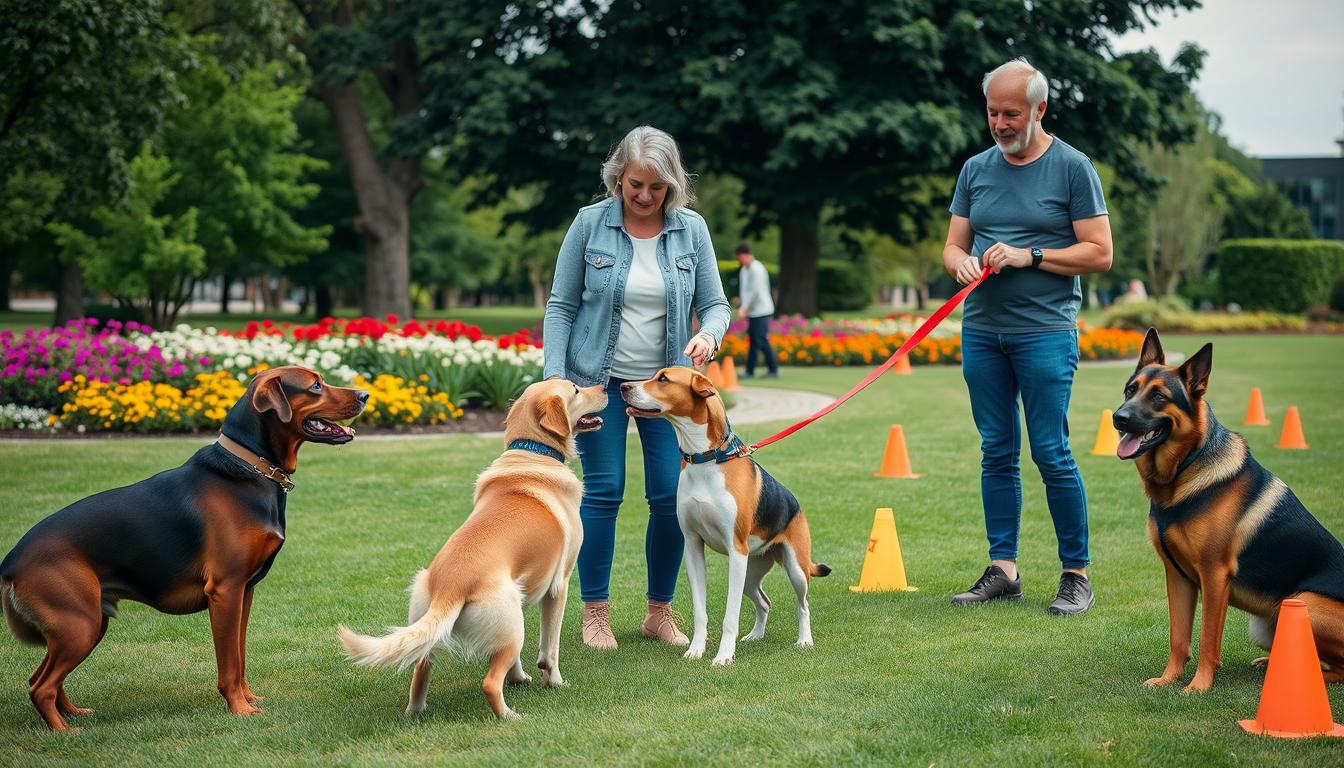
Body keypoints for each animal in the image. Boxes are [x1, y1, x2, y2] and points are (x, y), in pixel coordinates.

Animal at [0, 368, 365, 731]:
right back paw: (64, 731)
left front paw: (248, 698)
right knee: (41, 687)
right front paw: (239, 708)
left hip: (82, 624)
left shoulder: (244, 592)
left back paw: (72, 712)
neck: (250, 467)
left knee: (39, 678)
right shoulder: (225, 590)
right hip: (80, 626)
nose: (365, 395)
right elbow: (229, 662)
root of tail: (10, 563)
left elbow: (240, 655)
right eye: (315, 385)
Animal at [1112, 328, 1344, 694]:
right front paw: (1168, 679)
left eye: (1159, 397)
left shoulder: (1214, 576)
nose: (1117, 417)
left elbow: (1208, 639)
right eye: (1130, 389)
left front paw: (1198, 686)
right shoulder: (1177, 576)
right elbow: (1179, 638)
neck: (1183, 472)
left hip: (1304, 604)